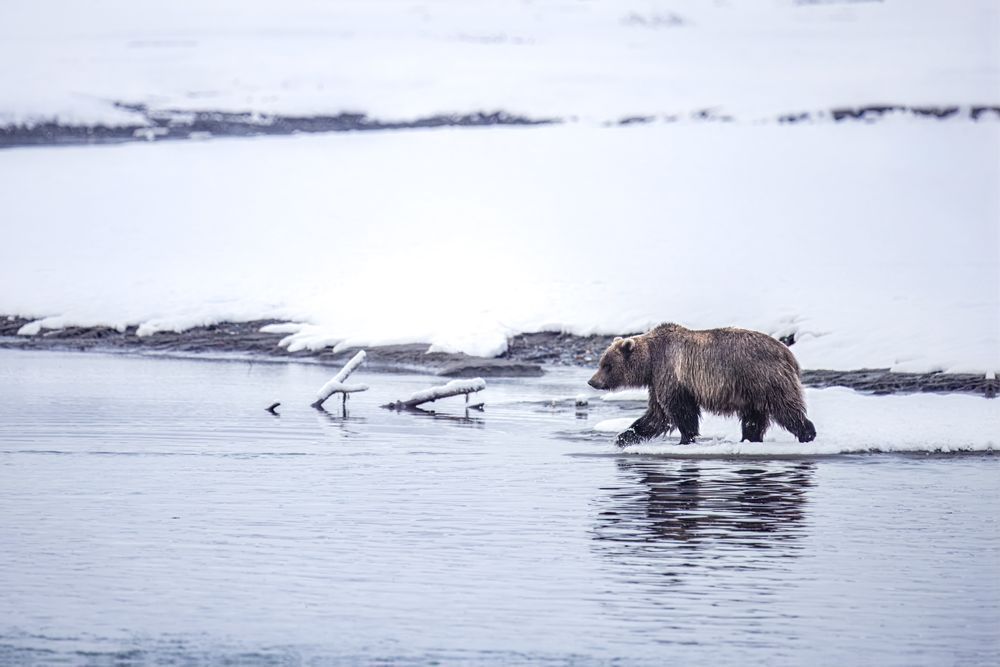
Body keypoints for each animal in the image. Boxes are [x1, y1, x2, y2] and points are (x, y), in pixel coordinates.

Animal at [588, 323, 817, 446]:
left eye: (607, 365)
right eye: (602, 362)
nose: (592, 381)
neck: (651, 361)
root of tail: (788, 353)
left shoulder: (672, 374)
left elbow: (679, 411)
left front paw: (685, 439)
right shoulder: (657, 381)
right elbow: (656, 415)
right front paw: (624, 437)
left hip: (765, 377)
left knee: (785, 408)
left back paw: (807, 433)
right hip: (751, 390)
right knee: (754, 418)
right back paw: (749, 439)